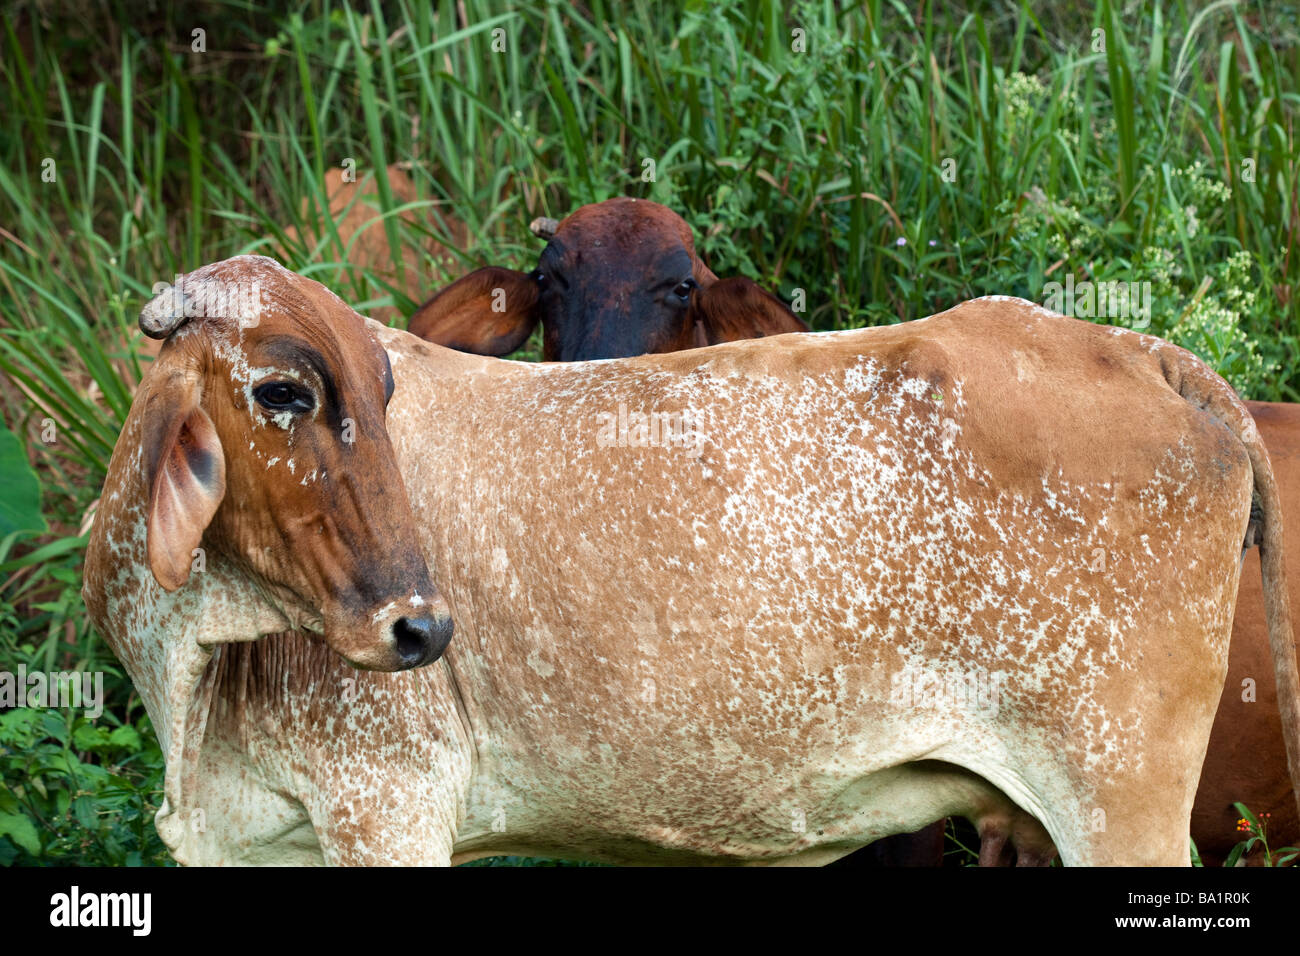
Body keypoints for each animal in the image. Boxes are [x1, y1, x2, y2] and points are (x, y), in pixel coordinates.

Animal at [86, 260, 1294, 868]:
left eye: (382, 391)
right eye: (284, 391)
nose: (419, 627)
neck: (199, 679)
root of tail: (1143, 352)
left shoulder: (389, 810)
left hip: (1121, 803)